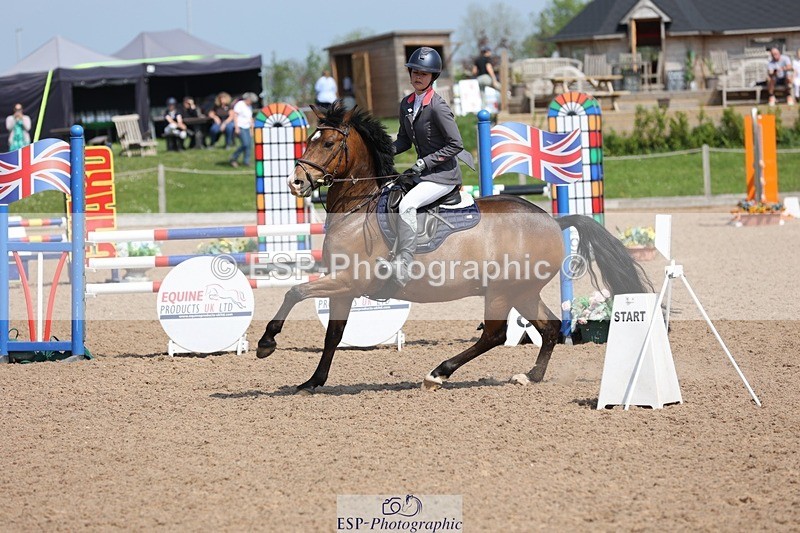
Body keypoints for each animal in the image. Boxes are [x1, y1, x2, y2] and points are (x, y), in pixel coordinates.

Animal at [256, 101, 651, 393]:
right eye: (309, 139)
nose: (294, 182)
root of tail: (553, 220)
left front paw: (266, 342)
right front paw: (312, 381)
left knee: (495, 335)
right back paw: (529, 376)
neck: (358, 207)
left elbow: (294, 292)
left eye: (327, 143)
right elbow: (333, 335)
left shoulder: (349, 281)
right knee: (550, 327)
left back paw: (439, 373)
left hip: (501, 291)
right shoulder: (344, 286)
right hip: (522, 291)